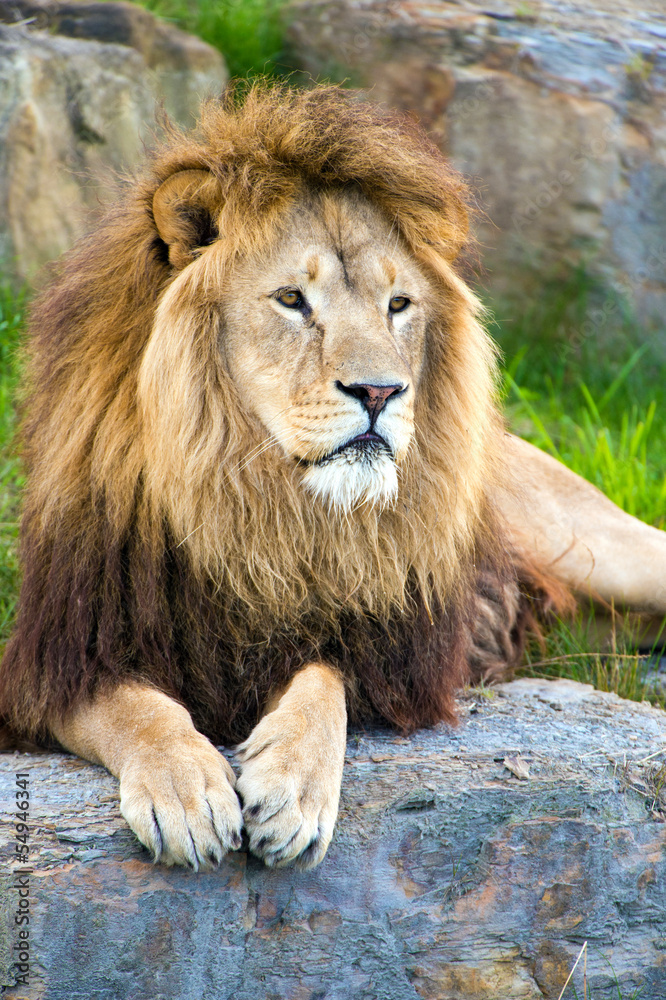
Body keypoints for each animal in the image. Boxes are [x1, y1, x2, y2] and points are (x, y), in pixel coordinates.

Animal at [1, 83, 665, 871]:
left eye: (398, 305)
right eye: (292, 299)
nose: (380, 391)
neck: (254, 502)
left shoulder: (389, 652)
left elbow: (325, 679)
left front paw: (291, 789)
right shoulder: (53, 661)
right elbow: (137, 708)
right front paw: (185, 790)